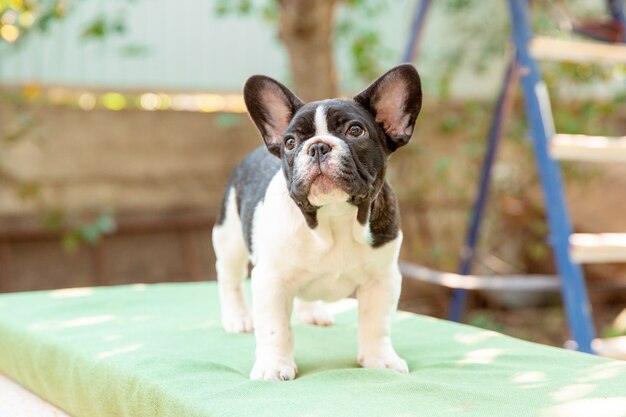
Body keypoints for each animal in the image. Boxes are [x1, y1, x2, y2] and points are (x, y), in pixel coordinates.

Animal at [212, 64, 422, 380]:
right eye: (290, 142)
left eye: (355, 130)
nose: (318, 146)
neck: (334, 217)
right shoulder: (272, 279)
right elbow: (275, 329)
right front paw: (274, 366)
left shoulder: (382, 279)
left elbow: (376, 324)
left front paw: (380, 360)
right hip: (230, 236)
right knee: (229, 277)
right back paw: (238, 318)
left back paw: (312, 312)